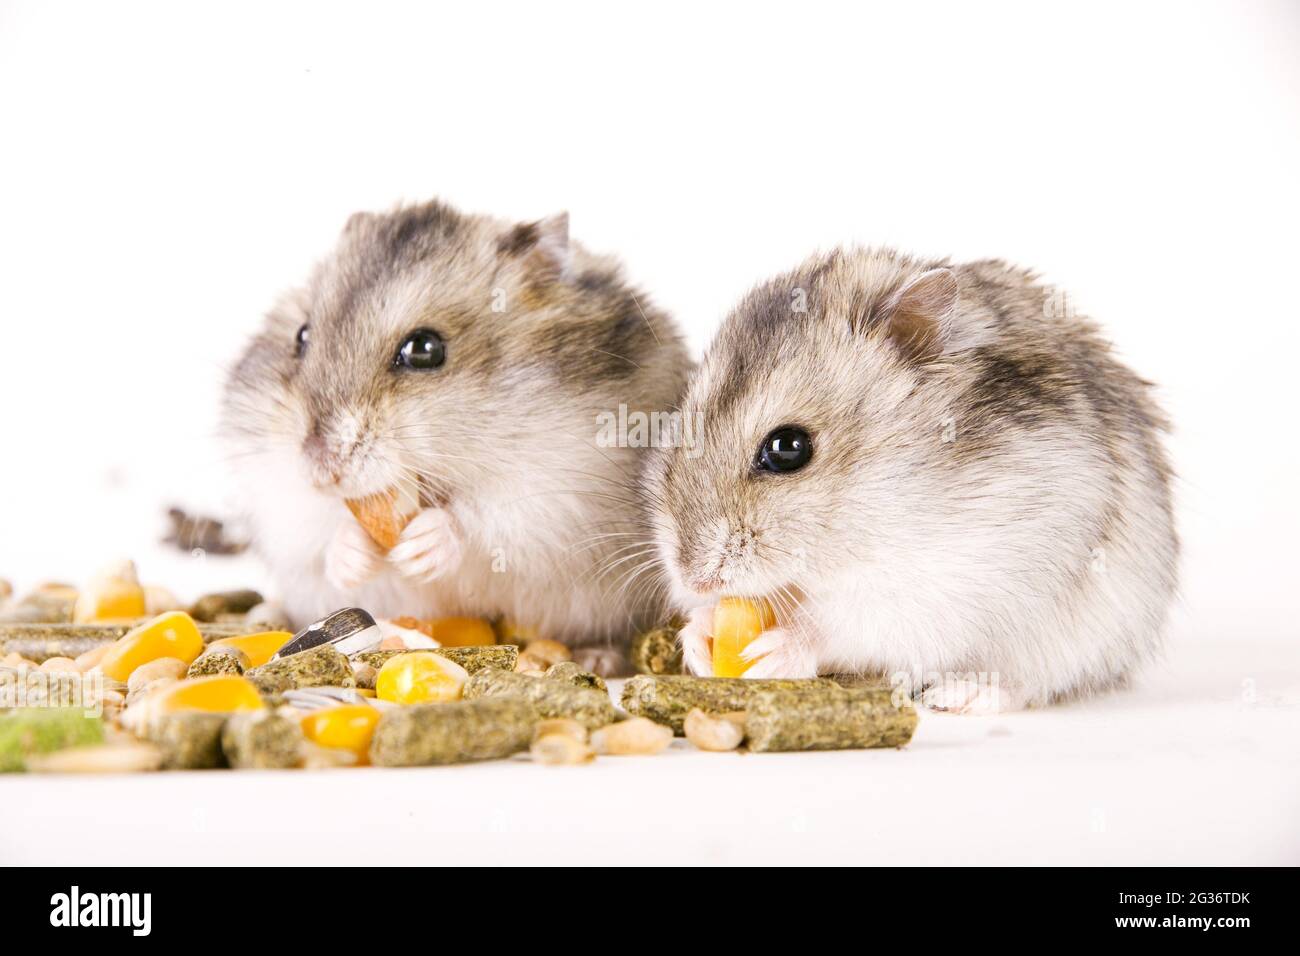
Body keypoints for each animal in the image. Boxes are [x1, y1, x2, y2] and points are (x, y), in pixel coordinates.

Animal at [223, 201, 691, 665]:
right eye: (302, 337)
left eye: (425, 349)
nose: (321, 470)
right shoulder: (274, 490)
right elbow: (316, 525)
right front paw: (353, 551)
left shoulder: (562, 495)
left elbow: (486, 519)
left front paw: (420, 546)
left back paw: (595, 657)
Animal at [644, 247, 1185, 712]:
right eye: (678, 426)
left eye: (788, 448)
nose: (693, 577)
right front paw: (698, 636)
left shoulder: (955, 574)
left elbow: (852, 624)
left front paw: (776, 650)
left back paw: (961, 696)